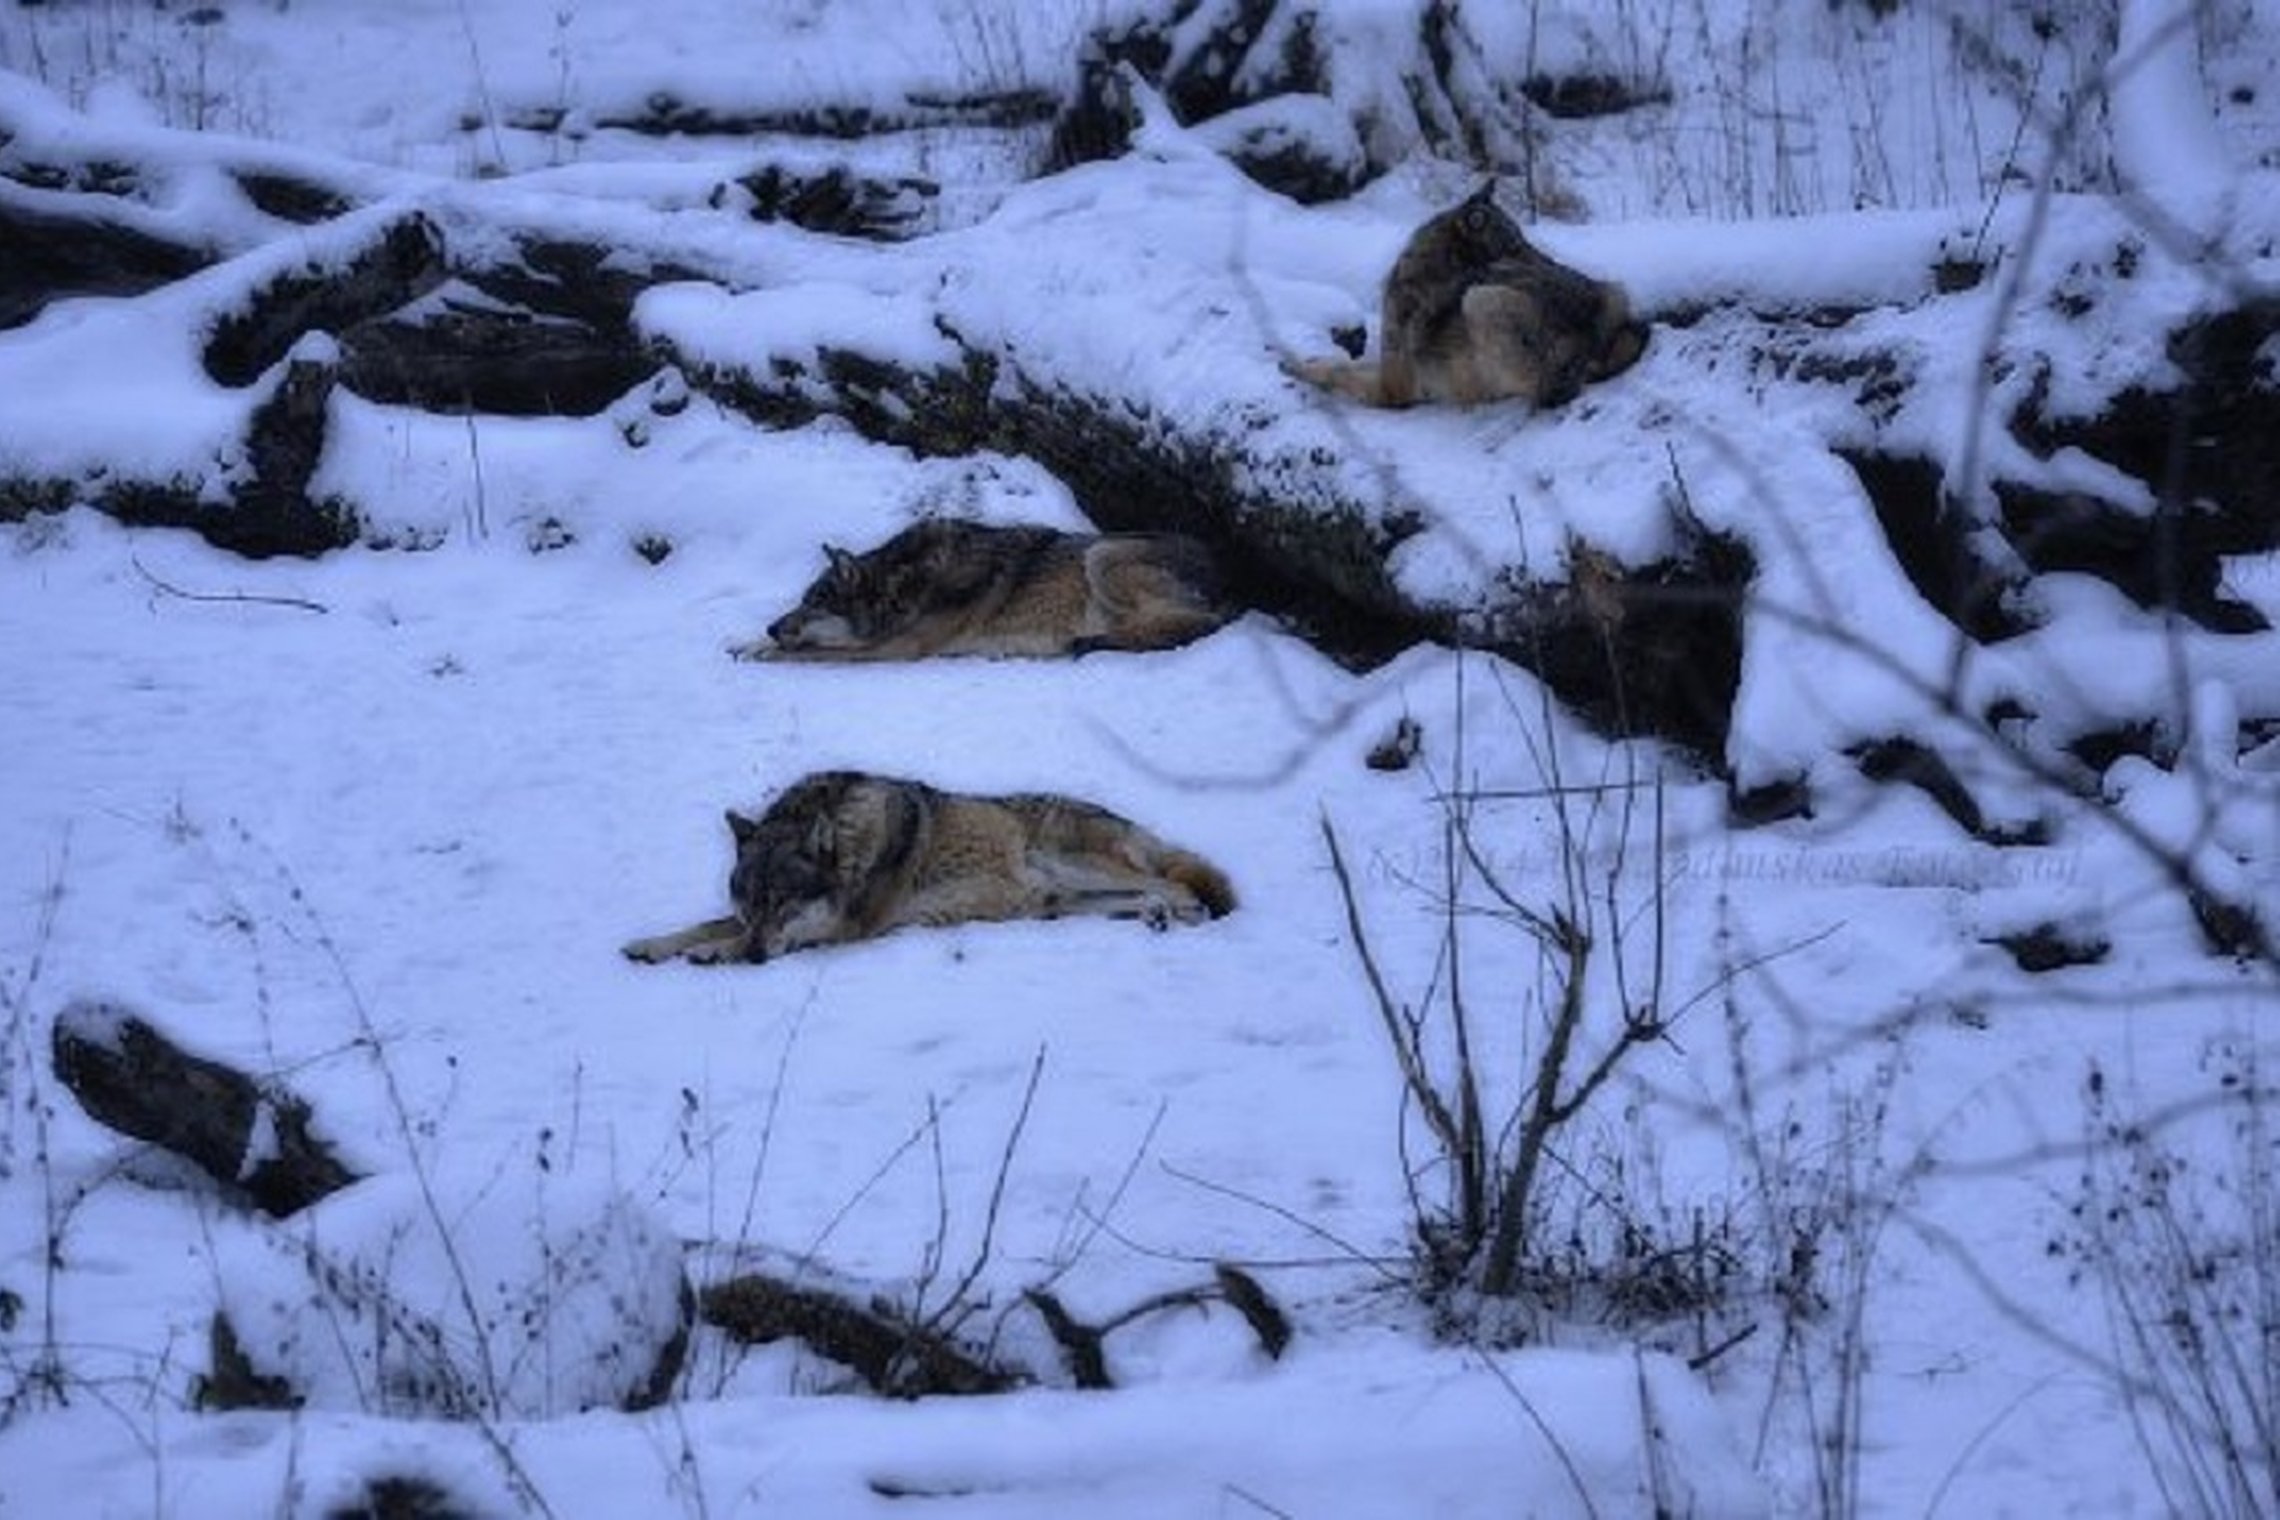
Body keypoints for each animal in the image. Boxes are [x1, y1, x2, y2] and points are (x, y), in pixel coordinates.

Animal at [734, 519, 1240, 660]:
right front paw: (746, 641)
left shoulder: (897, 649)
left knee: (1196, 624)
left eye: (815, 603)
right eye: (799, 601)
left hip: (1104, 554)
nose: (773, 626)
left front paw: (764, 652)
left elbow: (808, 654)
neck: (907, 582)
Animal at [1285, 182, 1641, 410]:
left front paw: (1298, 367)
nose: (1548, 261)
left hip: (1480, 298)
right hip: (1618, 290)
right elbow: (1343, 363)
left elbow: (1338, 372)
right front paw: (1311, 358)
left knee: (1543, 394)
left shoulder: (1392, 389)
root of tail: (1600, 338)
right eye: (1516, 244)